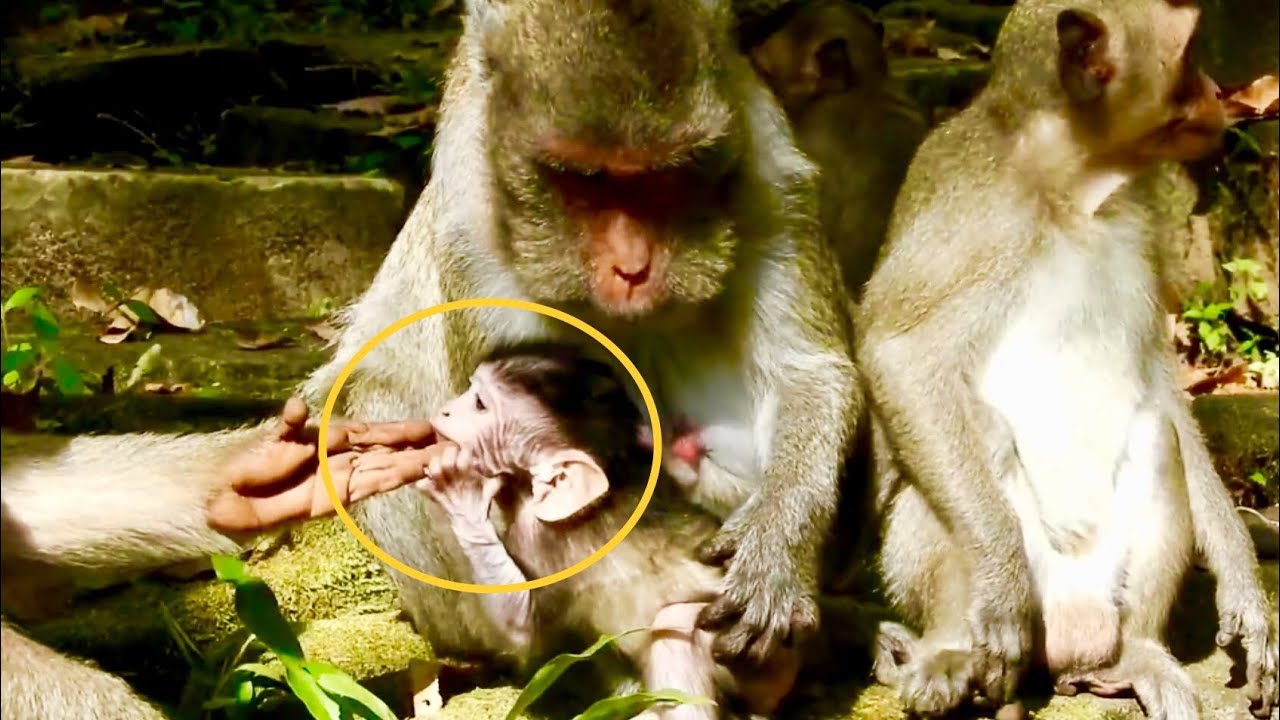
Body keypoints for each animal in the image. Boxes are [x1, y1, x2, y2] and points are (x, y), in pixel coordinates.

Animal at [407, 341, 798, 719]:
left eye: (479, 404)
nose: (445, 412)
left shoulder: (537, 535)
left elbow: (523, 634)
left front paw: (460, 492)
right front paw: (677, 450)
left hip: (755, 659)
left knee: (677, 623)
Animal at [855, 1, 1280, 718]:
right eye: (1190, 54)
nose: (1216, 92)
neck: (1072, 183)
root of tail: (1070, 644)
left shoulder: (1141, 221)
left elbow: (1159, 386)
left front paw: (1243, 583)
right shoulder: (972, 208)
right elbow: (897, 354)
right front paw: (998, 582)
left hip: (1098, 592)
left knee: (1155, 434)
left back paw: (1138, 652)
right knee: (972, 440)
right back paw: (947, 651)